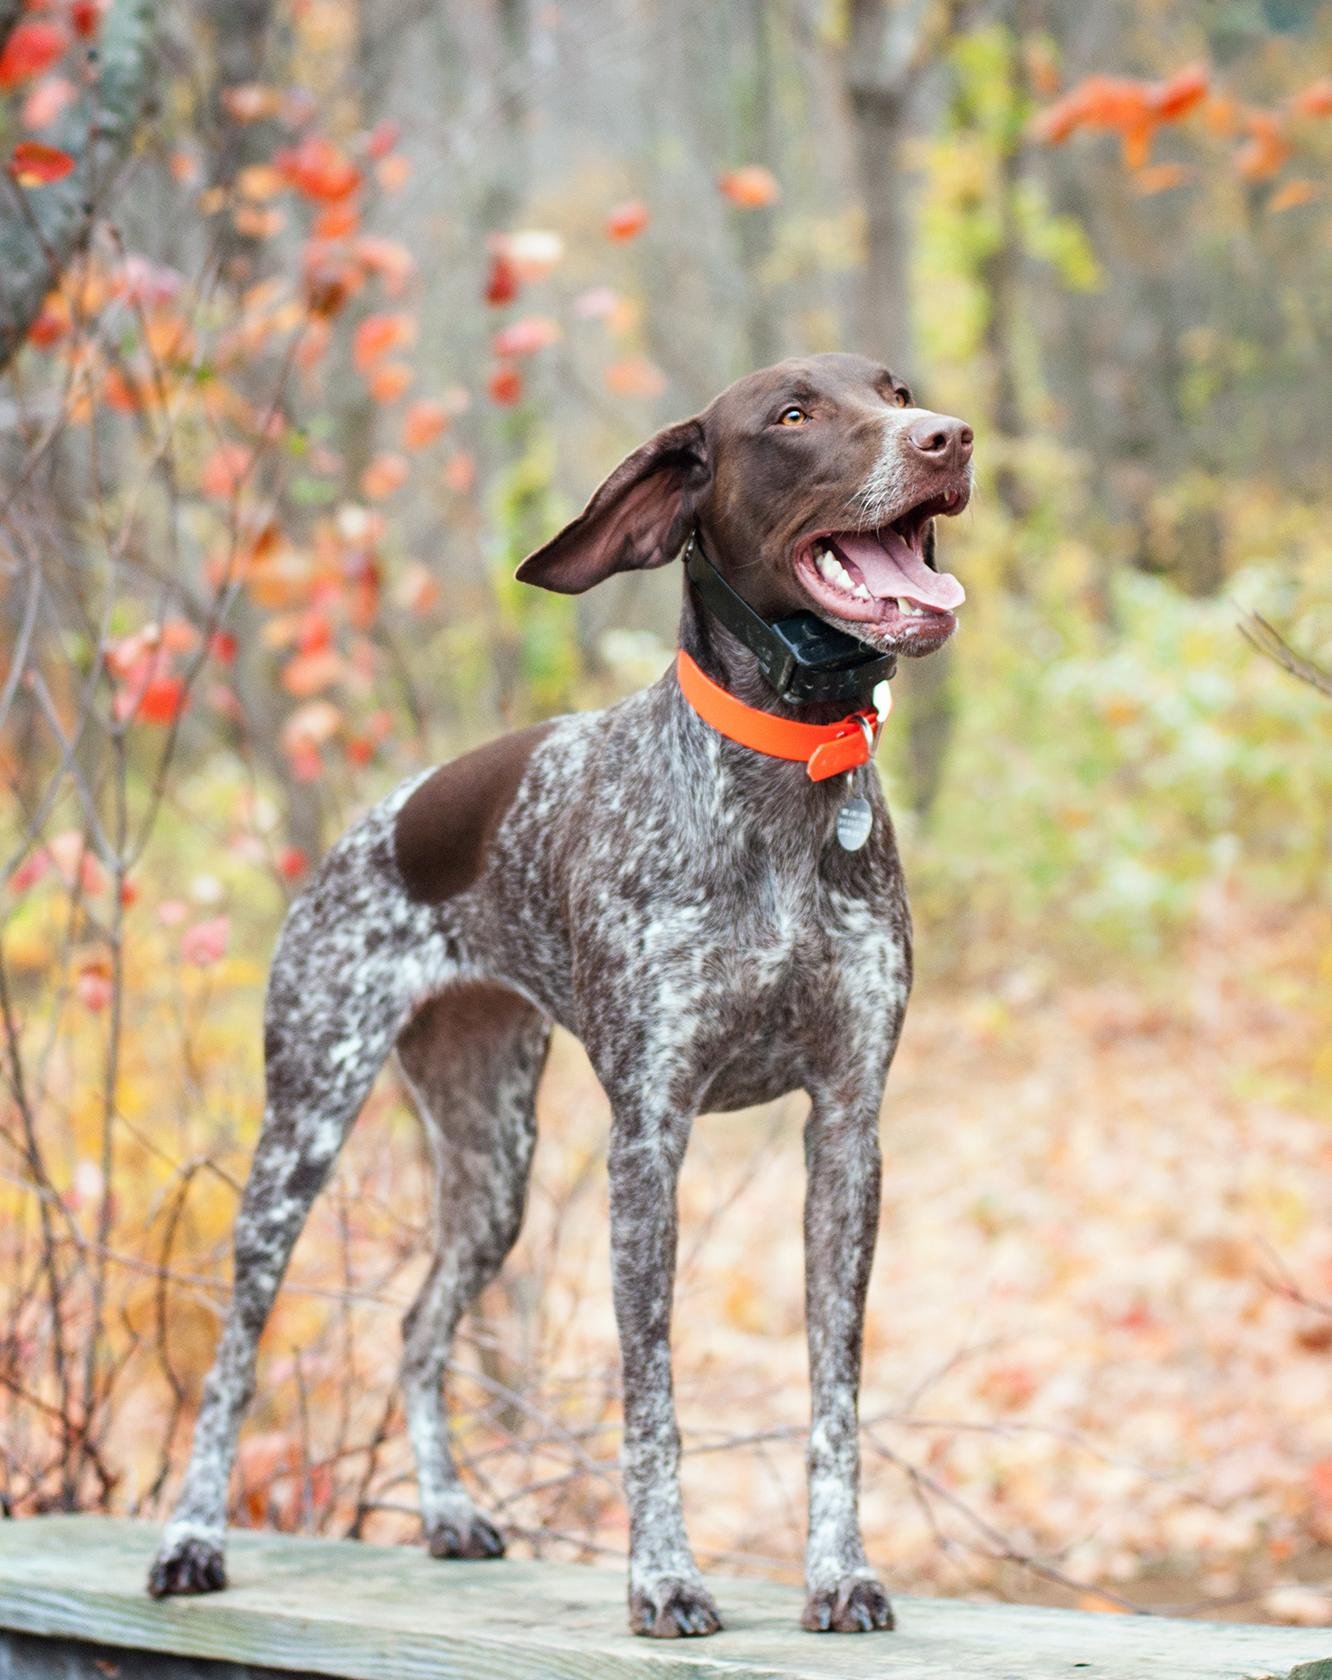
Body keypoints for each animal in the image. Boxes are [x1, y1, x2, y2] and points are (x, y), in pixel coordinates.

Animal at [150, 351, 974, 1639]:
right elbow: (652, 1397)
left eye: (894, 389)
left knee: (416, 1329)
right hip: (301, 1137)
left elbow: (833, 1392)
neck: (786, 778)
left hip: (496, 1165)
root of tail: (377, 824)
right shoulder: (650, 1138)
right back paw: (191, 1538)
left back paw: (446, 1512)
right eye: (794, 415)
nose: (949, 437)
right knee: (235, 1352)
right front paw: (664, 1578)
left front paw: (839, 1573)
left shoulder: (848, 1132)